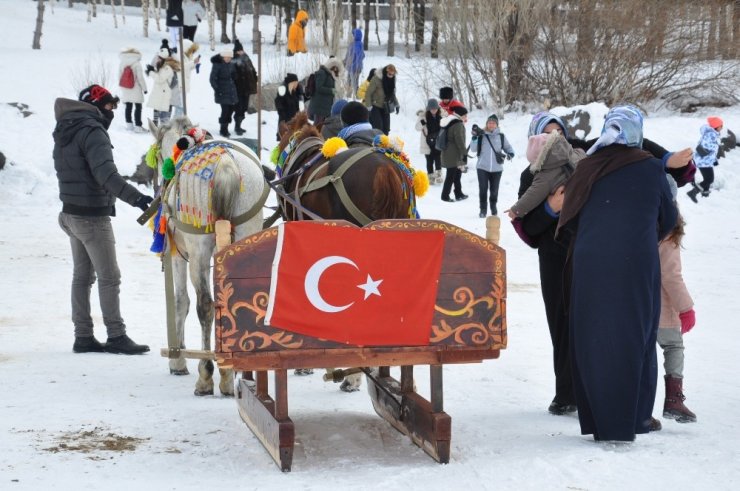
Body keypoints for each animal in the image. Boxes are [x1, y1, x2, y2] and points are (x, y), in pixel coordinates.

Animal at [147, 118, 268, 396]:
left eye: (157, 156)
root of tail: (226, 164)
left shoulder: (178, 254)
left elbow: (181, 302)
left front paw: (178, 360)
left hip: (199, 250)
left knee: (206, 305)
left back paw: (209, 375)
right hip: (247, 235)